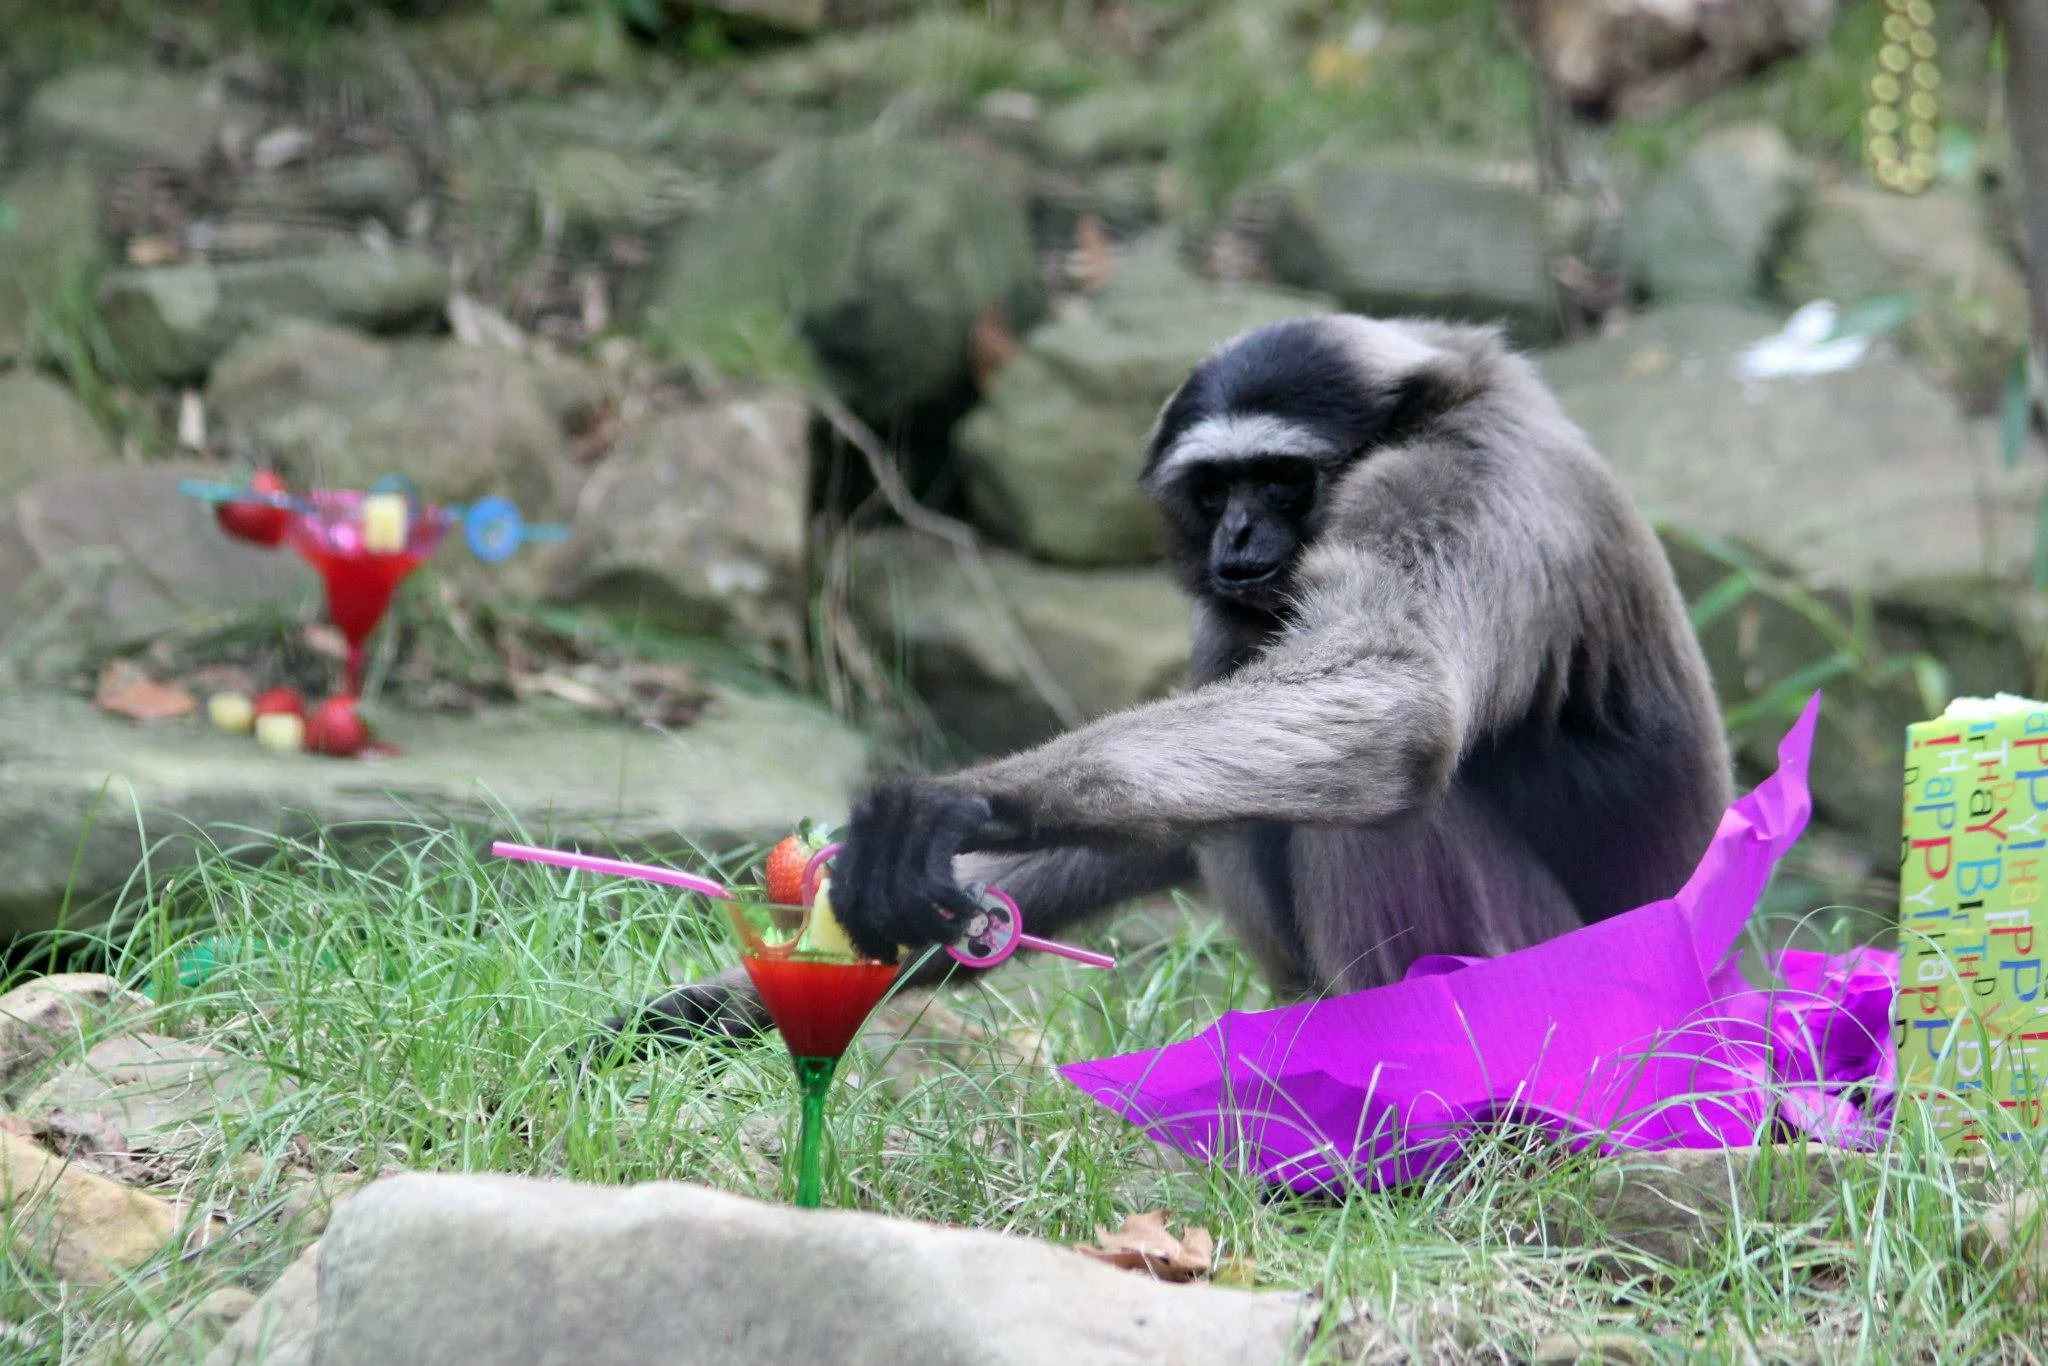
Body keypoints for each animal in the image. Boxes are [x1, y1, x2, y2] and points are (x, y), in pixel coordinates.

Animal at [601, 313, 1733, 1053]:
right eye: (1215, 487)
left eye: (1278, 478)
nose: (1238, 536)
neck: (1444, 400)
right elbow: (1149, 829)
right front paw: (729, 1000)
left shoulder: (1461, 480)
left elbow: (1396, 698)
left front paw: (955, 802)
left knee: (1391, 800)